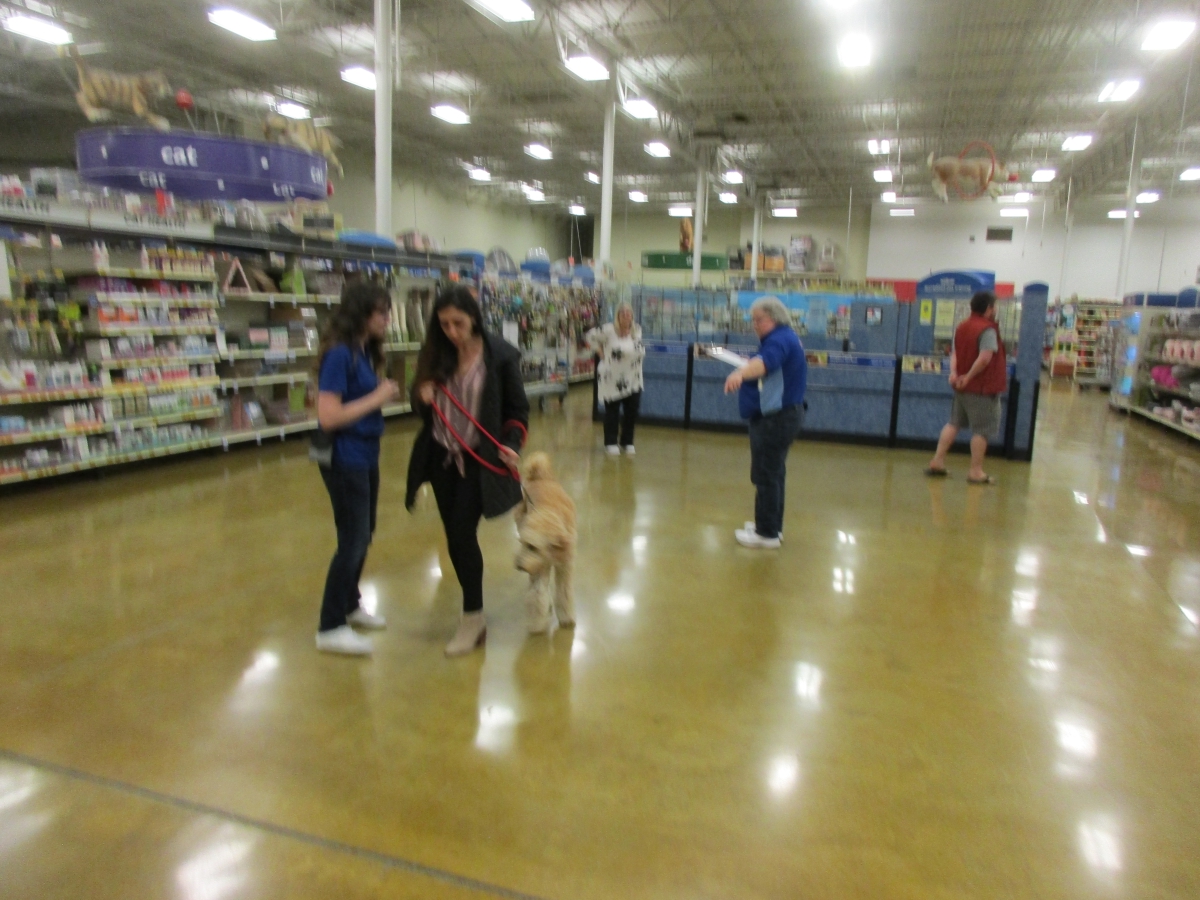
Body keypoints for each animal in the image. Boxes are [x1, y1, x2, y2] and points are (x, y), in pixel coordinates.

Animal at [514, 453, 576, 635]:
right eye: (522, 543)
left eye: (532, 547)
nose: (519, 565)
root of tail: (539, 477)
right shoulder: (540, 567)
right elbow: (537, 593)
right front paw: (536, 623)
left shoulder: (565, 567)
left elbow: (564, 592)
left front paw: (566, 617)